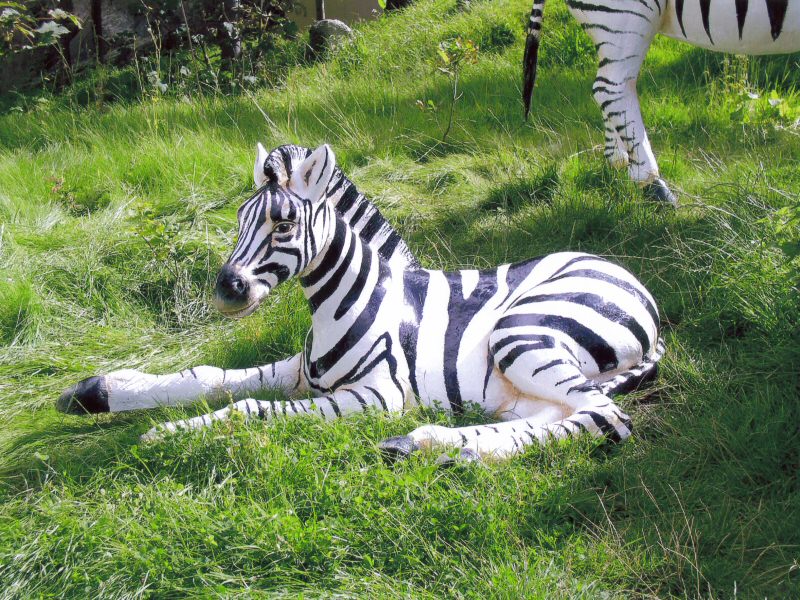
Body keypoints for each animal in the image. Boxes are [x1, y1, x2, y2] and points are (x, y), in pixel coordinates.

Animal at [57, 144, 664, 460]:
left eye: (283, 224)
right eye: (239, 219)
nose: (226, 290)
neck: (342, 304)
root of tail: (634, 282)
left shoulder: (379, 395)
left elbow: (248, 406)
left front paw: (168, 432)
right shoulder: (301, 372)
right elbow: (208, 377)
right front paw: (97, 392)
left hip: (522, 331)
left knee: (604, 415)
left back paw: (439, 445)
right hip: (517, 382)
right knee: (559, 411)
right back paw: (429, 443)